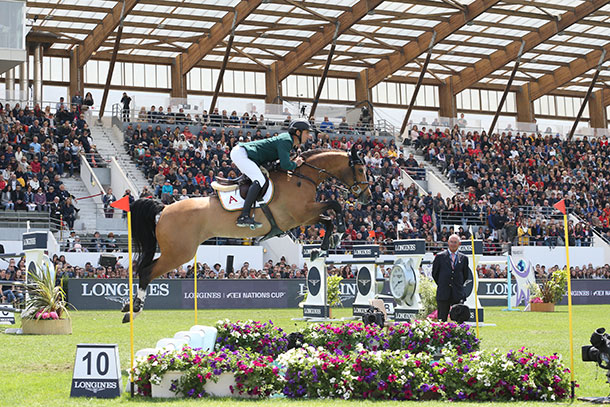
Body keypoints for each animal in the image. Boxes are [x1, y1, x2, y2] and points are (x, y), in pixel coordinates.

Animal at [121, 147, 370, 322]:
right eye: (360, 169)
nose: (366, 195)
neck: (301, 177)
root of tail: (163, 209)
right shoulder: (300, 214)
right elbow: (334, 206)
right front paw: (336, 236)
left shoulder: (304, 217)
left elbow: (328, 217)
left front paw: (326, 244)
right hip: (179, 253)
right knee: (146, 271)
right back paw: (133, 311)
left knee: (144, 270)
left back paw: (128, 307)